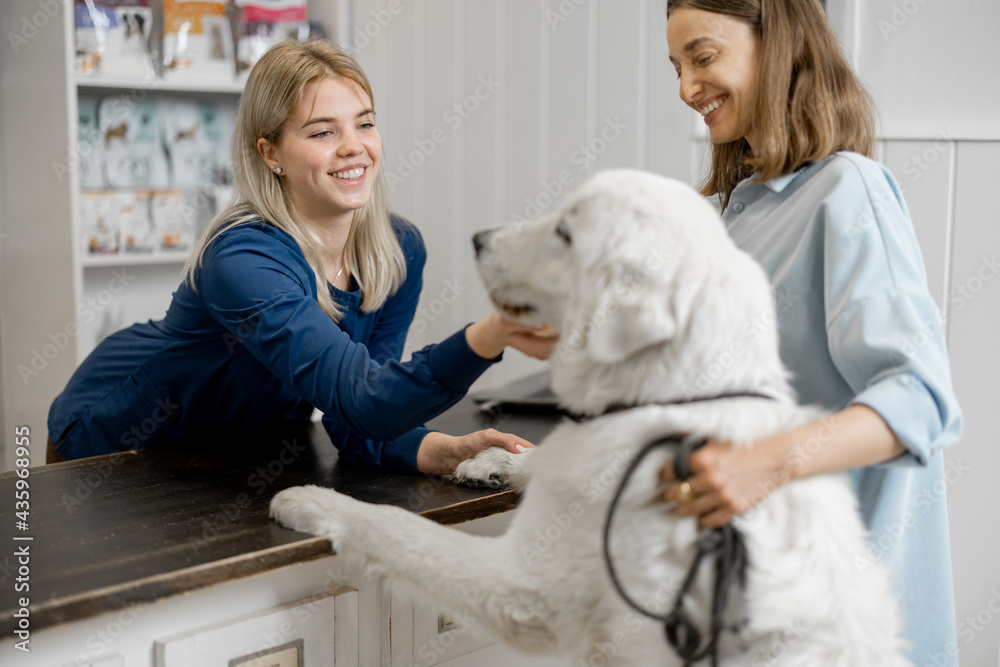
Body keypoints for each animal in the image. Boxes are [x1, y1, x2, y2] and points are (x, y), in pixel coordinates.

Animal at [270, 170, 912, 664]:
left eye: (564, 233)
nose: (478, 238)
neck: (671, 401)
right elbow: (537, 458)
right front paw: (488, 460)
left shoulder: (521, 588)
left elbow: (397, 529)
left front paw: (312, 502)